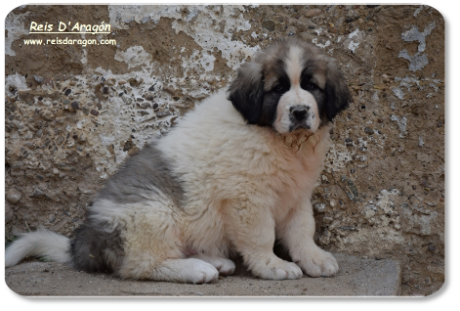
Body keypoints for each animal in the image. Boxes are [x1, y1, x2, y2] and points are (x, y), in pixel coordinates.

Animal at [4, 37, 352, 284]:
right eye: (278, 89)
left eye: (311, 86)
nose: (299, 112)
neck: (279, 140)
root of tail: (88, 239)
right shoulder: (246, 198)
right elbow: (261, 235)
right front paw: (272, 265)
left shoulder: (297, 193)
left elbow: (302, 229)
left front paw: (314, 258)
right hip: (154, 214)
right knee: (141, 264)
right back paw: (196, 269)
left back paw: (213, 260)